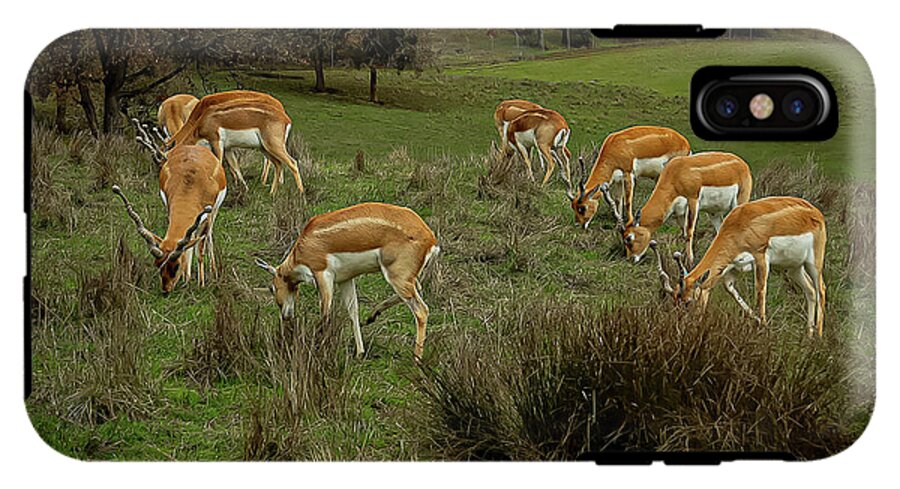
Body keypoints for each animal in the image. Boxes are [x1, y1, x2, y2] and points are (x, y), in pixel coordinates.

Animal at [112, 142, 227, 294]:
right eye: (158, 264)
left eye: (176, 266)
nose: (166, 290)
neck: (191, 183)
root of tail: (192, 146)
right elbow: (187, 245)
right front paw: (186, 279)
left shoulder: (206, 216)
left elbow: (200, 250)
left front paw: (201, 284)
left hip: (214, 213)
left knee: (208, 236)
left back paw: (213, 270)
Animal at [166, 90, 301, 195]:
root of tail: (286, 118)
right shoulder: (228, 148)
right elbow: (235, 166)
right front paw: (243, 188)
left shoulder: (217, 142)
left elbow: (219, 164)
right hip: (265, 147)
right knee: (278, 163)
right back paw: (272, 192)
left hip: (272, 146)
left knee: (292, 162)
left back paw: (299, 193)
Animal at [254, 203, 440, 360]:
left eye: (272, 288)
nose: (286, 315)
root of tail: (430, 238)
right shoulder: (345, 279)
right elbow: (353, 311)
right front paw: (360, 352)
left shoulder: (323, 275)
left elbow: (325, 313)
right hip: (405, 278)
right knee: (417, 290)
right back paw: (372, 316)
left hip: (396, 276)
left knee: (421, 310)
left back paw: (416, 358)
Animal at [600, 152, 753, 265]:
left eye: (629, 238)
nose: (631, 259)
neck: (675, 174)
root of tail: (742, 163)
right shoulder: (679, 212)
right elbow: (684, 233)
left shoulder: (693, 200)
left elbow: (689, 232)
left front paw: (690, 260)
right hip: (713, 212)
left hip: (739, 202)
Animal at [651, 196, 827, 337]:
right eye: (675, 301)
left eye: (688, 302)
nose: (682, 327)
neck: (739, 224)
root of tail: (815, 212)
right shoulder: (732, 268)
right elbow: (731, 290)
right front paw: (757, 321)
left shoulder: (761, 258)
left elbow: (760, 291)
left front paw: (763, 327)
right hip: (793, 268)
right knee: (810, 290)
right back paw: (809, 334)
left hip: (813, 263)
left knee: (821, 289)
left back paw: (818, 336)